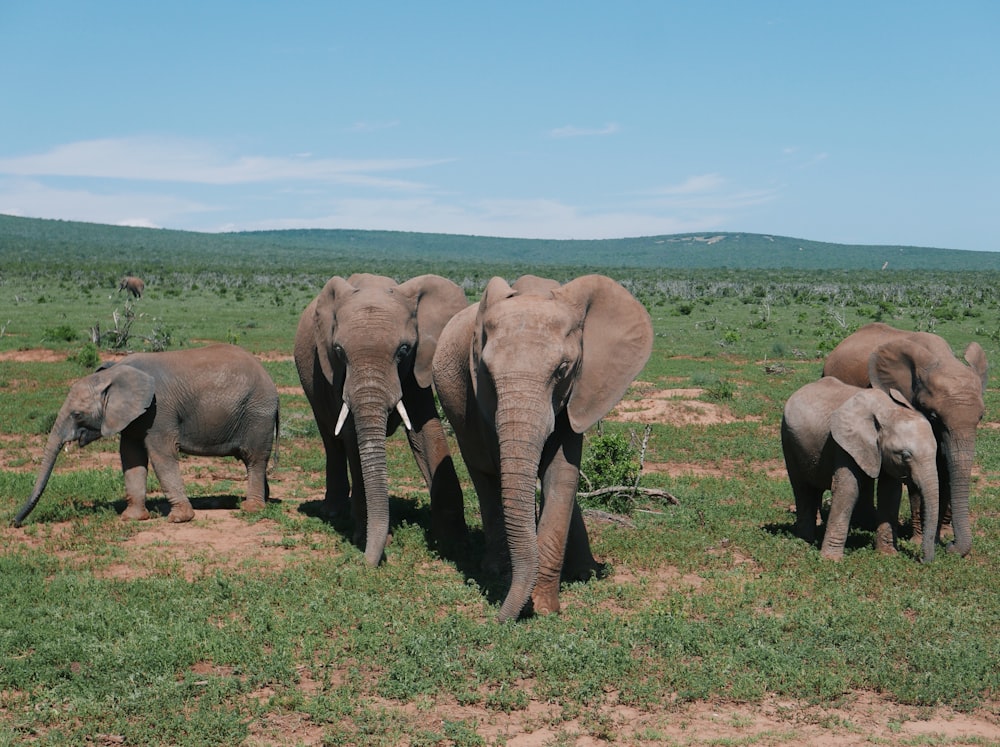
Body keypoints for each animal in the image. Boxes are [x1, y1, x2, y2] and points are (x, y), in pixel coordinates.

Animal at [14, 344, 282, 524]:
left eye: (78, 414)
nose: (14, 522)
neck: (113, 374)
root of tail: (272, 385)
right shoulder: (134, 417)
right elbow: (131, 456)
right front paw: (132, 518)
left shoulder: (158, 410)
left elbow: (162, 454)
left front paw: (179, 519)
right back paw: (262, 501)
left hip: (257, 414)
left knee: (254, 459)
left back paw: (252, 509)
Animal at [292, 274, 472, 568]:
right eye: (339, 351)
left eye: (403, 350)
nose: (365, 562)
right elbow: (353, 438)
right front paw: (366, 538)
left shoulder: (416, 367)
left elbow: (427, 432)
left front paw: (456, 544)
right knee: (330, 437)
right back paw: (332, 512)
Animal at [432, 274, 652, 624]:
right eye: (486, 372)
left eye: (562, 369)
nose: (498, 621)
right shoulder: (484, 403)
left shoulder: (580, 388)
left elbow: (561, 474)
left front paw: (546, 608)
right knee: (484, 475)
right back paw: (496, 569)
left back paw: (585, 571)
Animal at [784, 376, 940, 564]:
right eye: (905, 455)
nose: (922, 560)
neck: (888, 411)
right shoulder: (844, 444)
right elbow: (848, 489)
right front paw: (831, 560)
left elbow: (890, 493)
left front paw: (888, 555)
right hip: (788, 439)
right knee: (801, 488)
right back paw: (805, 541)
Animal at [824, 324, 988, 560]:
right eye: (933, 416)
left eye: (981, 417)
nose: (951, 547)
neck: (942, 357)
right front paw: (921, 541)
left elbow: (945, 469)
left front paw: (944, 536)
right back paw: (864, 522)